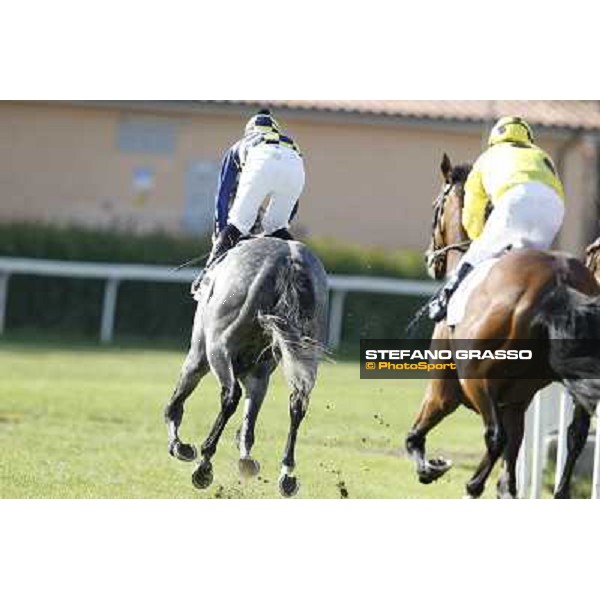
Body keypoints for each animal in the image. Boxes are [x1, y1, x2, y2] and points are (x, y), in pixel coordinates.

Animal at [164, 236, 328, 496]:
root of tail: (289, 260)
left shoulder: (199, 356)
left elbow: (175, 405)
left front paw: (179, 446)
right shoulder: (259, 375)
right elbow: (249, 421)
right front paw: (246, 459)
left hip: (217, 349)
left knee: (230, 396)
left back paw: (204, 464)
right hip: (307, 352)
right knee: (297, 403)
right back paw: (287, 474)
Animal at [406, 154, 600, 496]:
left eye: (435, 206)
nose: (430, 258)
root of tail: (560, 282)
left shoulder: (444, 389)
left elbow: (415, 437)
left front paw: (432, 468)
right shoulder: (517, 402)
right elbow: (510, 473)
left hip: (475, 378)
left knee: (494, 436)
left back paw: (472, 485)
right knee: (575, 435)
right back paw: (560, 491)